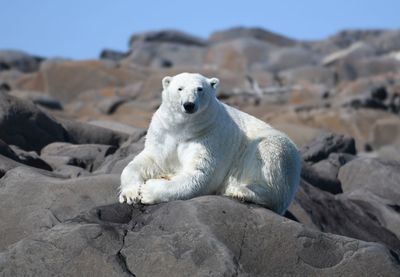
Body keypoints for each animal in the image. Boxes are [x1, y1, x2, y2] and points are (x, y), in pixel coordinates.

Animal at [120, 72, 302, 212]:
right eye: (180, 88)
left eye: (200, 89)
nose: (189, 105)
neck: (184, 127)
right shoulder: (163, 133)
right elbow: (147, 161)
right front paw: (130, 194)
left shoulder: (209, 137)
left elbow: (199, 175)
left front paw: (148, 191)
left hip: (277, 150)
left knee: (270, 164)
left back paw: (239, 190)